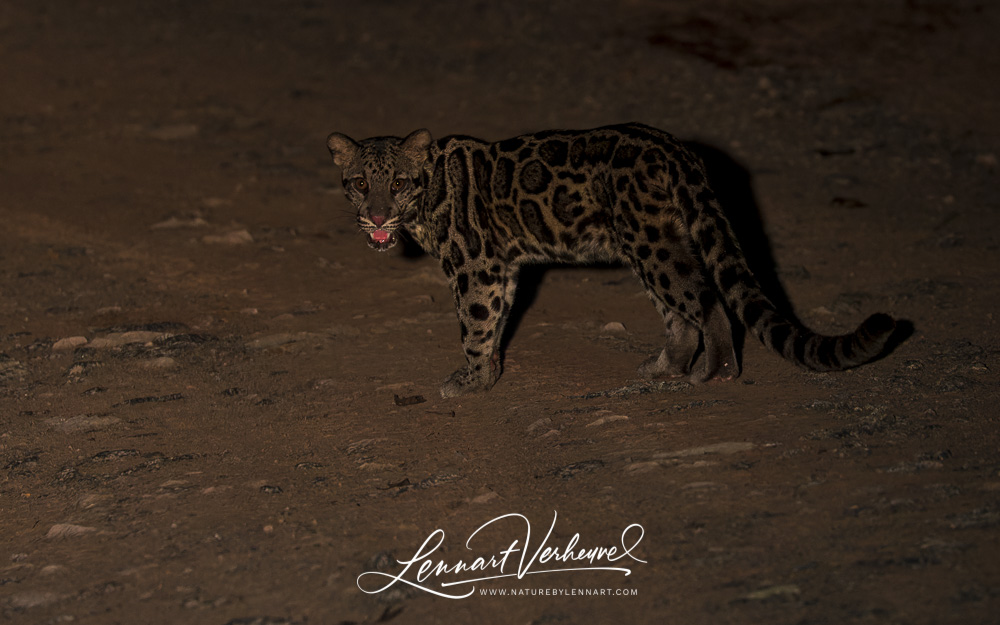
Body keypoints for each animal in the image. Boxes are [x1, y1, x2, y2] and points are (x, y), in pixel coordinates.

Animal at [328, 123, 900, 394]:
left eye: (399, 184)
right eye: (358, 184)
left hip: (651, 244)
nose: (377, 217)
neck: (428, 199)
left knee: (706, 301)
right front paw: (489, 376)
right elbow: (495, 324)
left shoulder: (475, 266)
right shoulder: (502, 268)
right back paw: (666, 366)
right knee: (681, 313)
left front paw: (469, 382)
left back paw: (713, 372)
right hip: (652, 243)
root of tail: (677, 150)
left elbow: (474, 325)